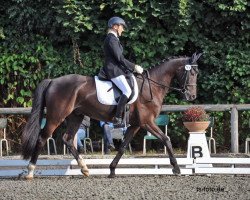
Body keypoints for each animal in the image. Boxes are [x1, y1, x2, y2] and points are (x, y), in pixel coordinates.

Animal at [21, 52, 201, 179]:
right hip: (55, 117)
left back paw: (85, 169)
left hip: (75, 116)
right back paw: (30, 171)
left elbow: (122, 147)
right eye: (192, 73)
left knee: (67, 139)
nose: (192, 96)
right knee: (42, 138)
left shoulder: (136, 125)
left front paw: (112, 170)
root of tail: (53, 81)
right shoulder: (147, 122)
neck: (151, 86)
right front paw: (176, 168)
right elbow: (166, 139)